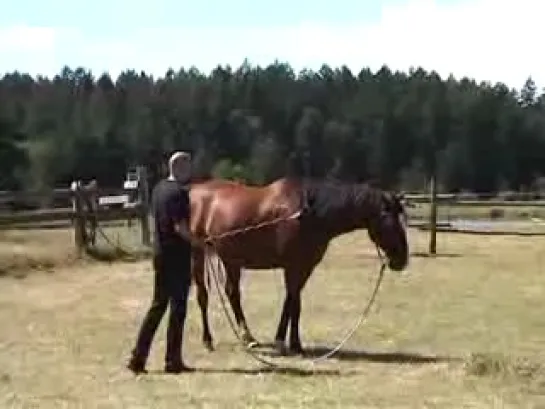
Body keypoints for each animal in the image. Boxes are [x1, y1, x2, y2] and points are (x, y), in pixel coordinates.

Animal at [189, 176, 406, 354]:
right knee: (205, 295)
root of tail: (192, 192)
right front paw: (287, 343)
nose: (402, 260)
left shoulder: (304, 268)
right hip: (200, 254)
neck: (309, 215)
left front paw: (291, 343)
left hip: (230, 259)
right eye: (388, 219)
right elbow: (293, 302)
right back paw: (214, 340)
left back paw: (243, 337)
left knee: (230, 293)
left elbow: (293, 302)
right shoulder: (293, 266)